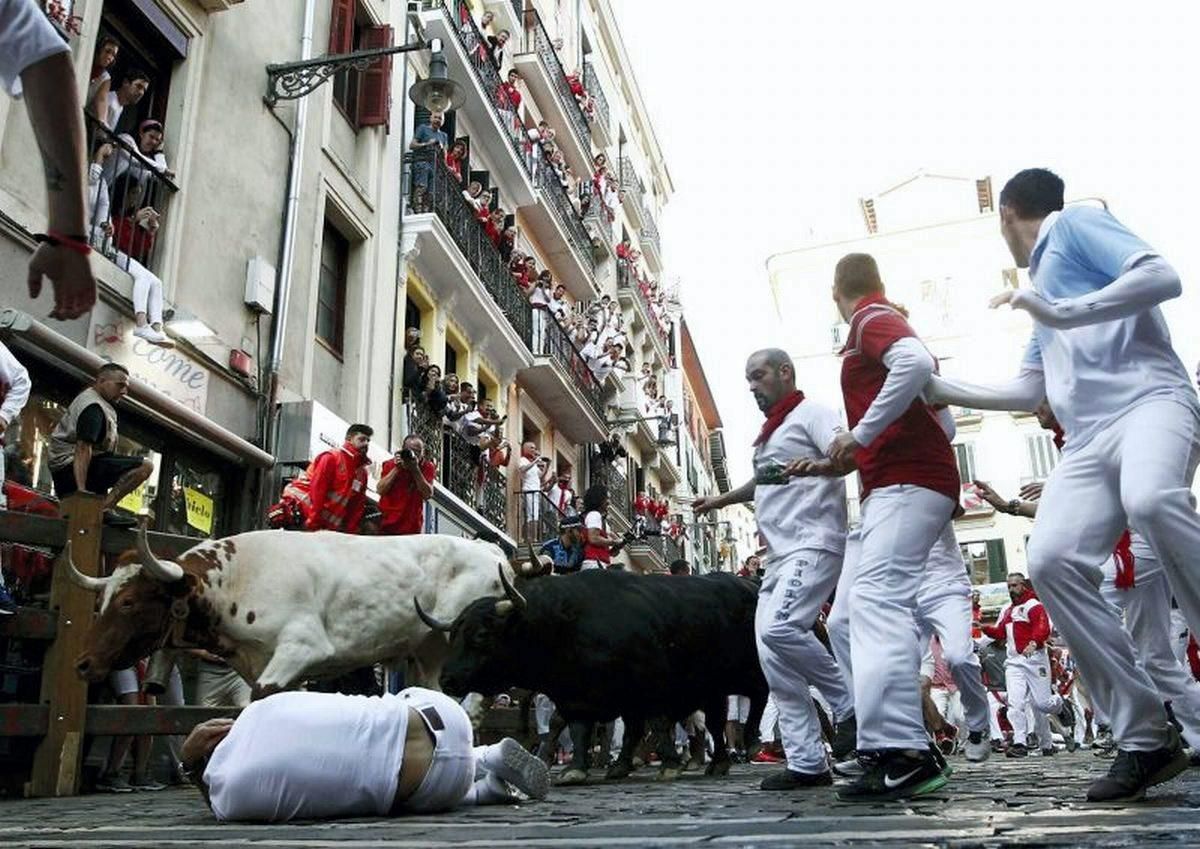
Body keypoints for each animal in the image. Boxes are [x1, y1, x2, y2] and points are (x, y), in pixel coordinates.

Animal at [432, 566, 768, 777]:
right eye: (453, 635)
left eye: (480, 635)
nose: (447, 679)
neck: (563, 624)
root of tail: (750, 586)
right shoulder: (579, 695)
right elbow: (581, 729)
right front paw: (580, 769)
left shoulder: (652, 687)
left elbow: (657, 724)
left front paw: (669, 764)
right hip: (714, 689)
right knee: (715, 723)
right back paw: (717, 763)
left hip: (748, 672)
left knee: (758, 698)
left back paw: (750, 742)